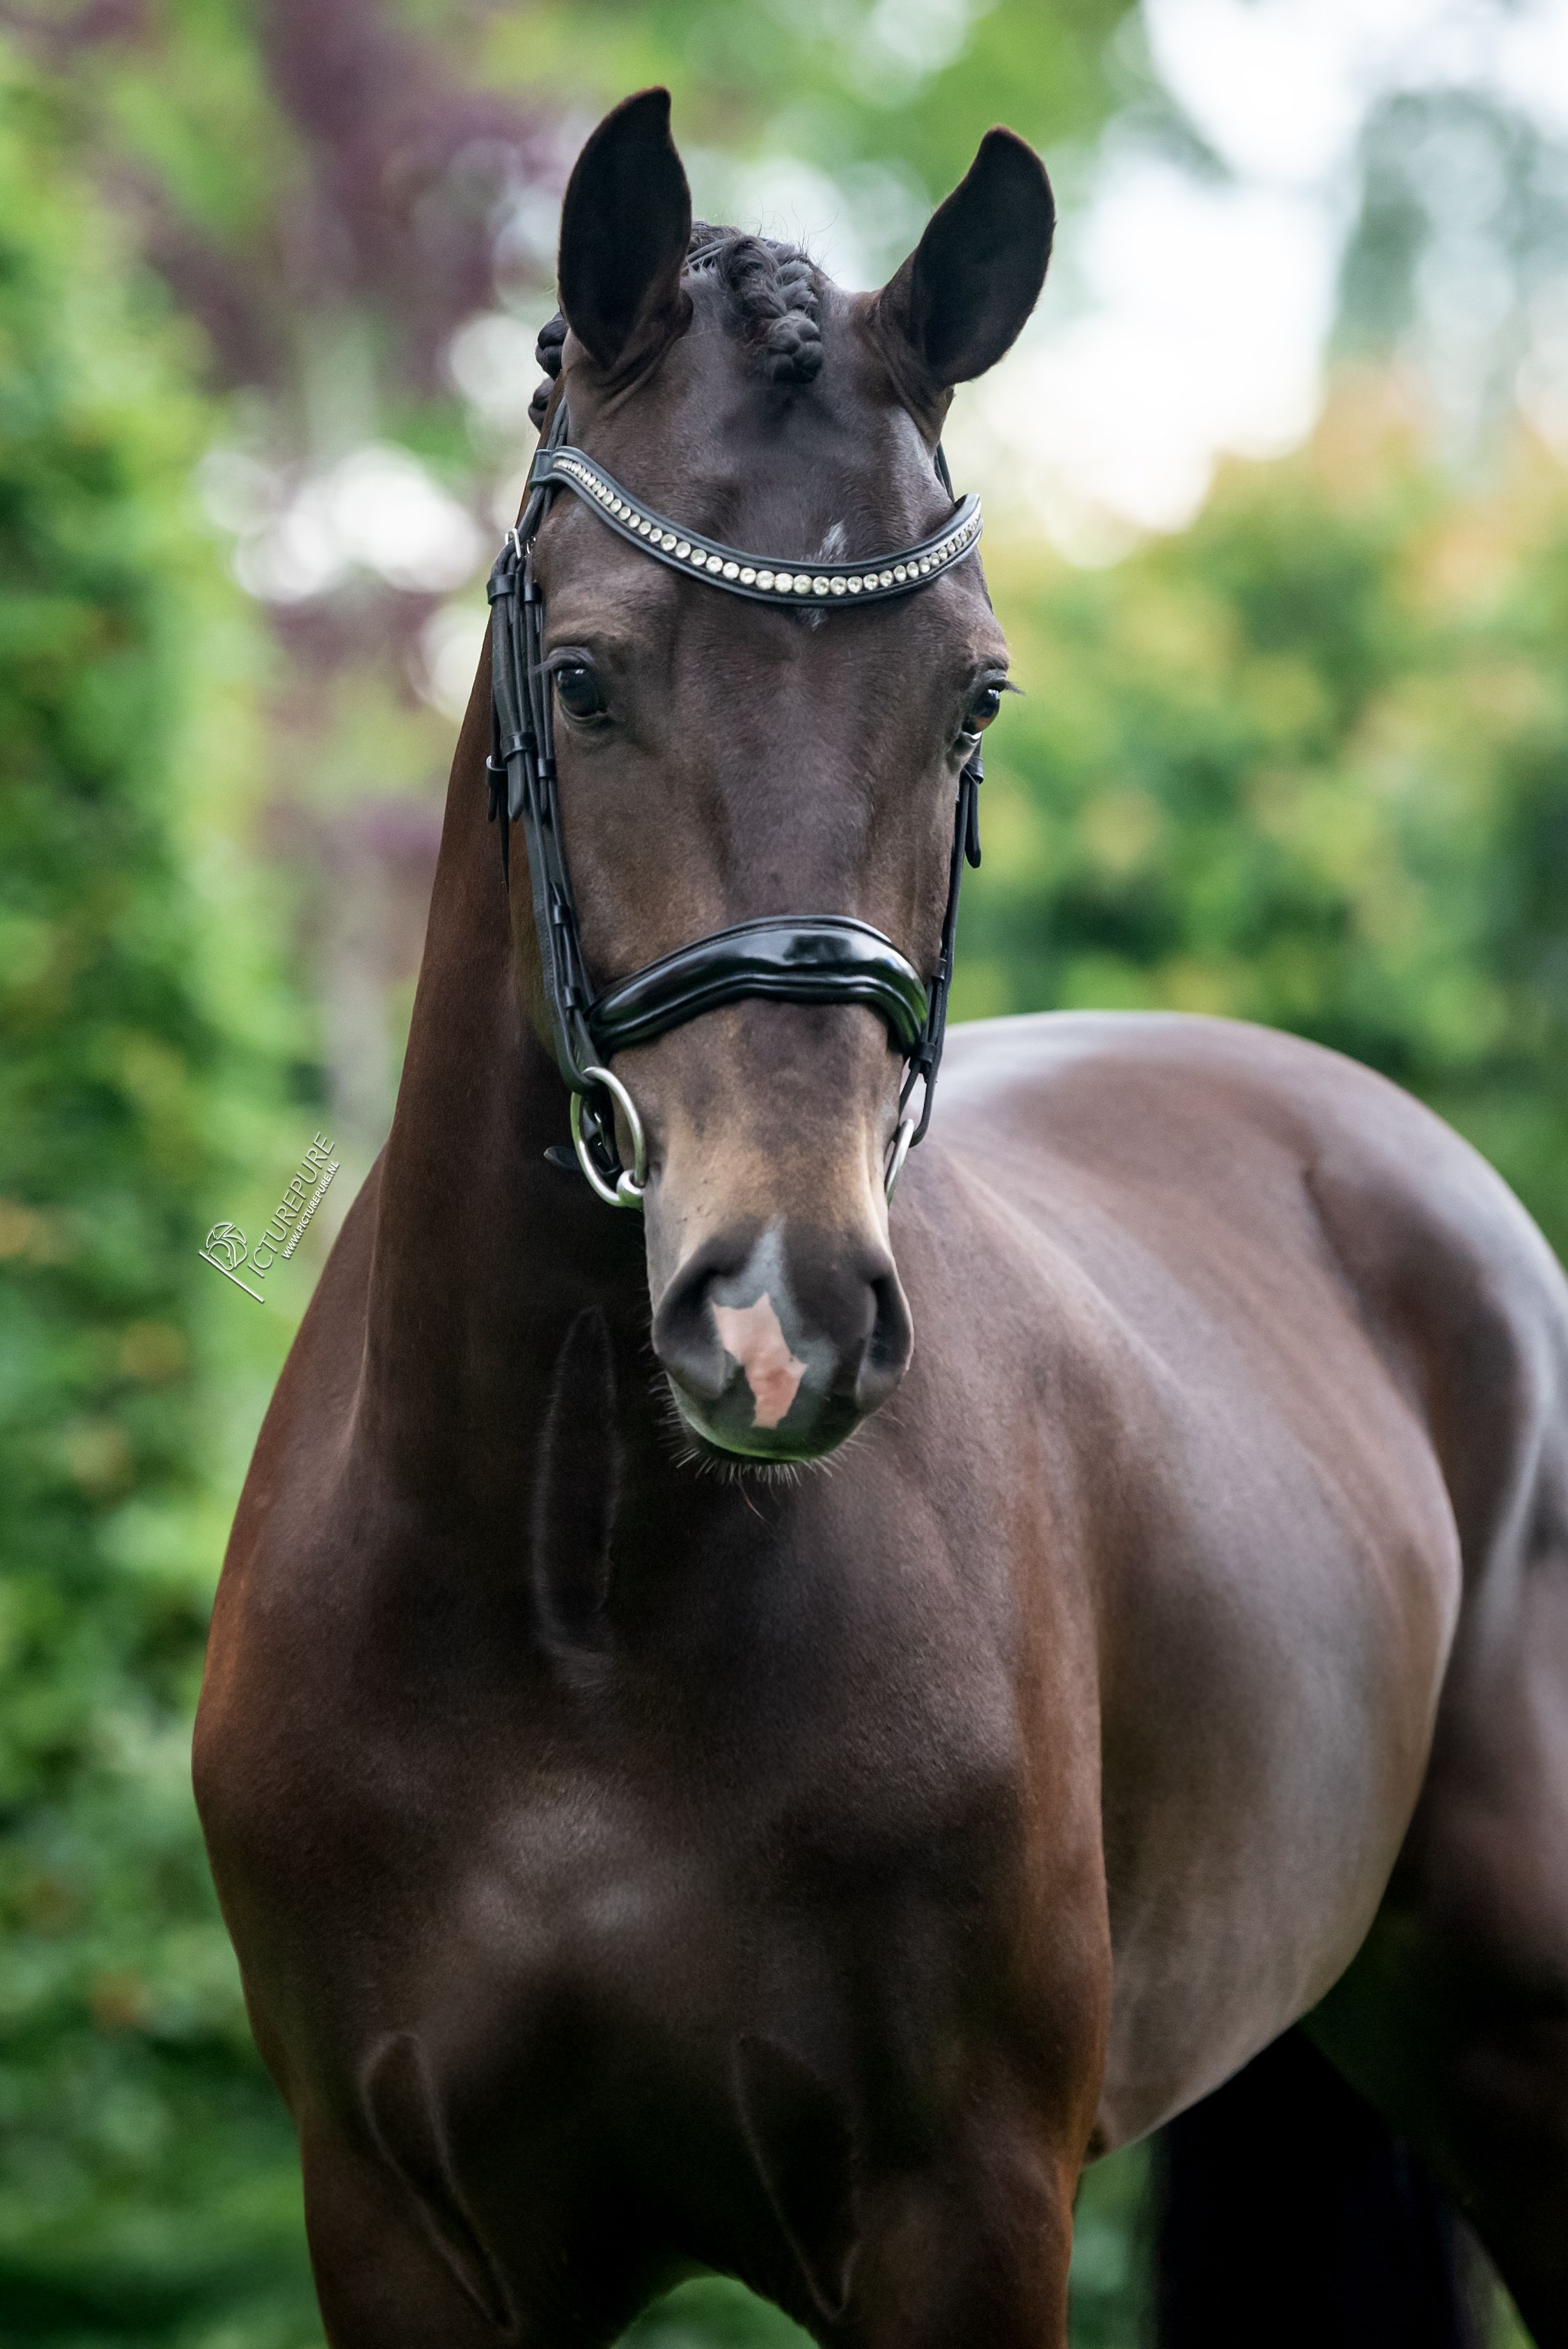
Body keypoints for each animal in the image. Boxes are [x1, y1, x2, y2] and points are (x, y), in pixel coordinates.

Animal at [194, 88, 1568, 2349]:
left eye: (972, 699)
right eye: (584, 679)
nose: (777, 1319)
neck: (570, 1607)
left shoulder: (963, 2217)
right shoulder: (395, 2230)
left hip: (1511, 2045)